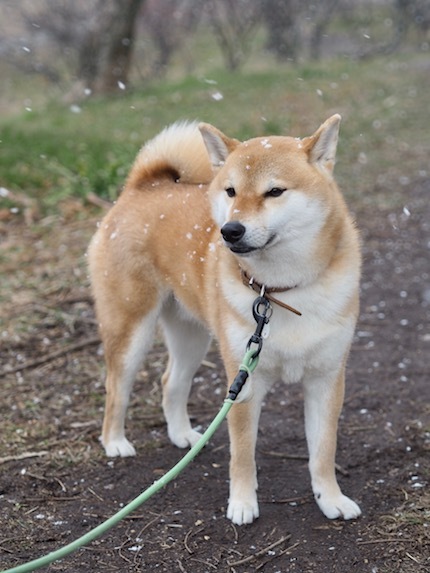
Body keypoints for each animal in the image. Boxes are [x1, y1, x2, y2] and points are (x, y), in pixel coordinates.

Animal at [88, 115, 362, 524]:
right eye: (231, 191)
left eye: (275, 191)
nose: (230, 230)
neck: (281, 291)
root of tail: (143, 186)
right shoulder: (244, 379)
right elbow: (243, 453)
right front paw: (243, 504)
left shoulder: (326, 379)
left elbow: (323, 452)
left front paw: (330, 498)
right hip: (131, 328)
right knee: (116, 388)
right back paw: (116, 442)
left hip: (192, 337)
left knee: (171, 382)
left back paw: (183, 436)